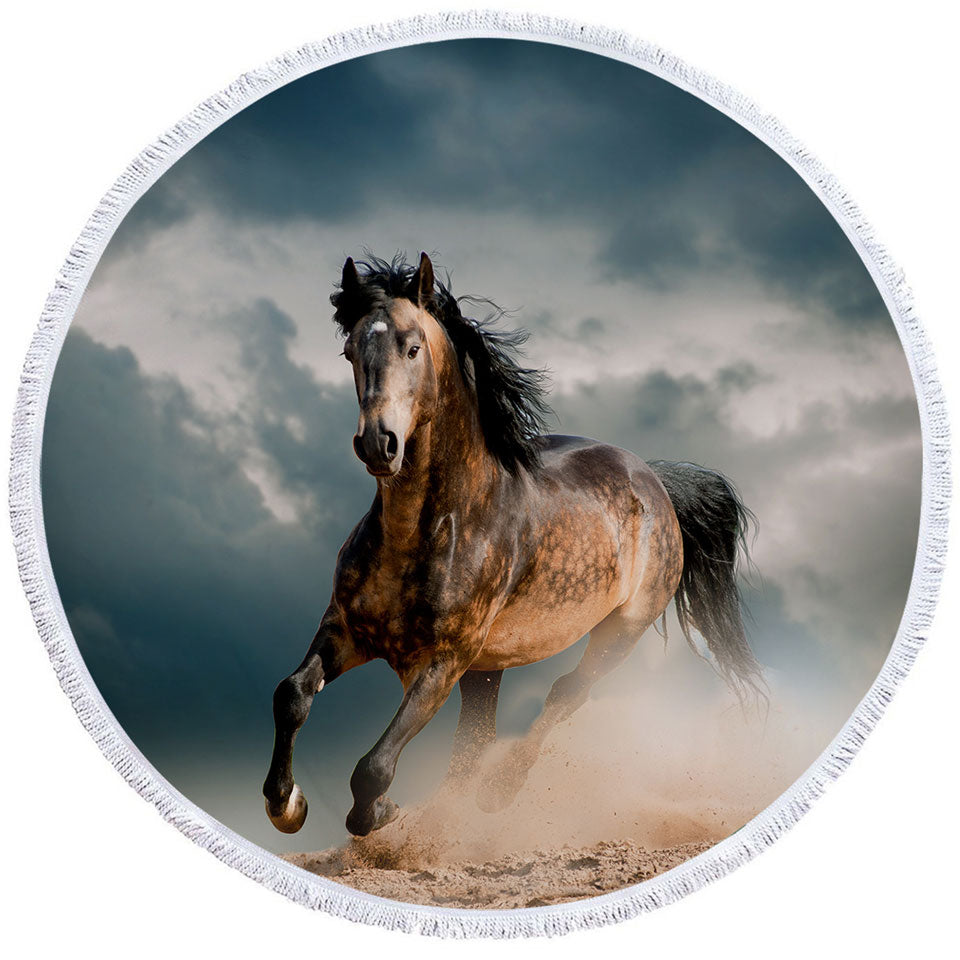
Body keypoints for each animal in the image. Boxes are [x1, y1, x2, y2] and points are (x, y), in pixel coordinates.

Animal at [262, 252, 763, 838]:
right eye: (349, 351)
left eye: (412, 347)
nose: (377, 444)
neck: (429, 530)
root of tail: (655, 481)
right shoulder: (346, 629)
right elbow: (292, 695)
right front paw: (286, 804)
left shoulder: (444, 661)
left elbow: (374, 767)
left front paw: (380, 813)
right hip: (489, 668)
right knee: (474, 742)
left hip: (620, 632)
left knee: (565, 694)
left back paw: (497, 794)